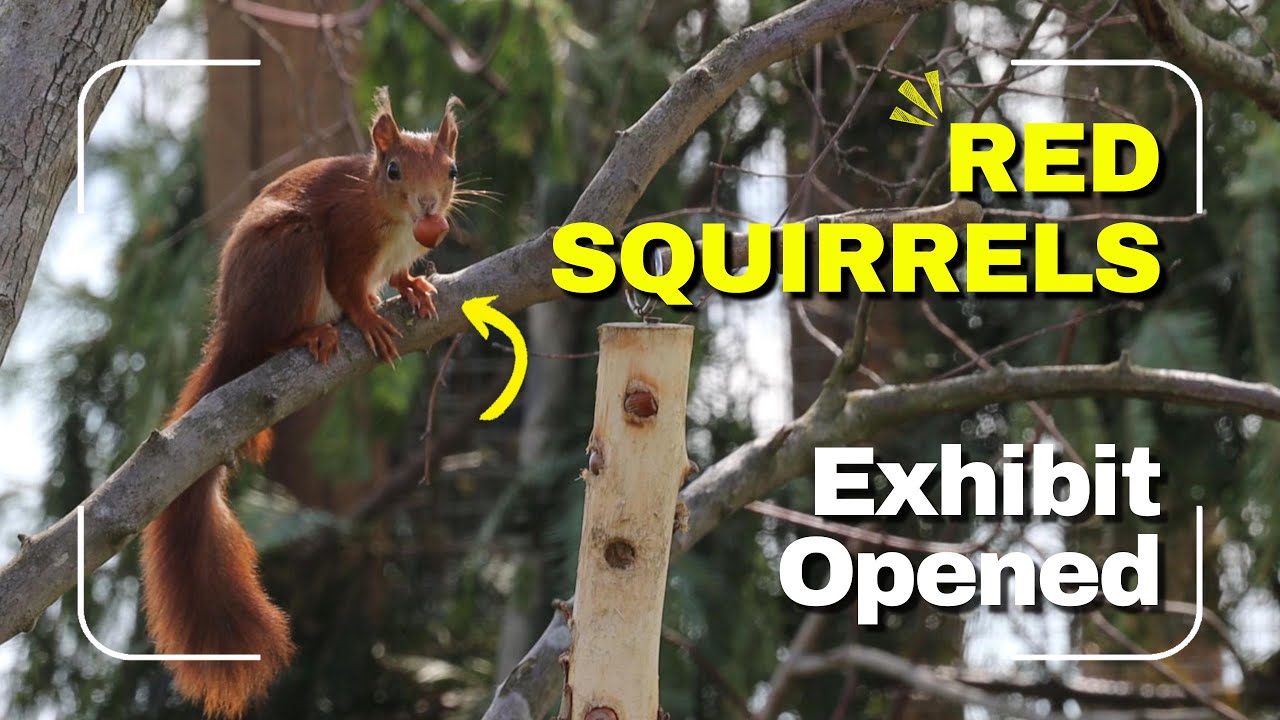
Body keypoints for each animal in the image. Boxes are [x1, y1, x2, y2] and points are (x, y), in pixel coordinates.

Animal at [140, 88, 459, 719]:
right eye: (393, 170)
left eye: (453, 170)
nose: (429, 206)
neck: (393, 221)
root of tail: (232, 329)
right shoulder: (347, 240)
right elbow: (350, 287)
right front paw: (369, 318)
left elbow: (399, 274)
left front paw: (414, 287)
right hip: (292, 250)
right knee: (272, 334)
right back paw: (308, 336)